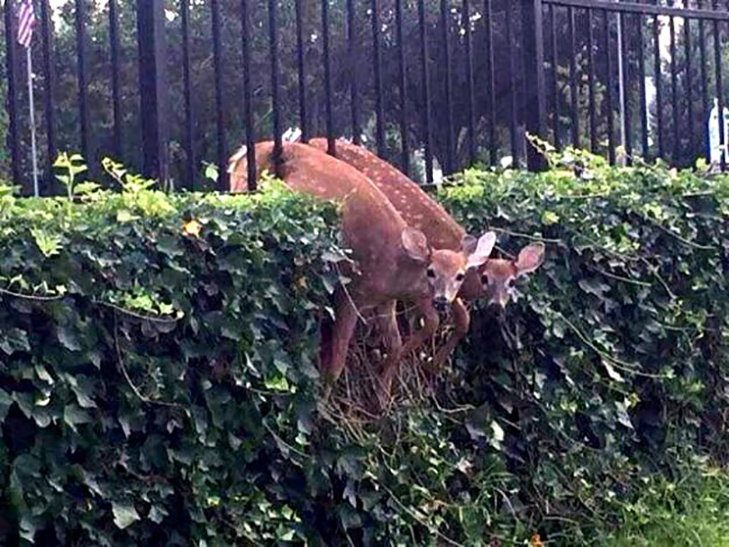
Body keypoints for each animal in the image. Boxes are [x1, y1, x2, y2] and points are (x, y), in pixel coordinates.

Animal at [226, 140, 494, 398]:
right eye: (431, 272)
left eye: (459, 276)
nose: (441, 299)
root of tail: (239, 155)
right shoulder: (351, 294)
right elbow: (338, 360)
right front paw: (322, 403)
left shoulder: (385, 302)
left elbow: (397, 343)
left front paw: (382, 397)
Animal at [304, 136, 544, 370]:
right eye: (486, 278)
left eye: (512, 282)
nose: (497, 306)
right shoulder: (423, 282)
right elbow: (434, 321)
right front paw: (414, 359)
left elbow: (462, 319)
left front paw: (432, 363)